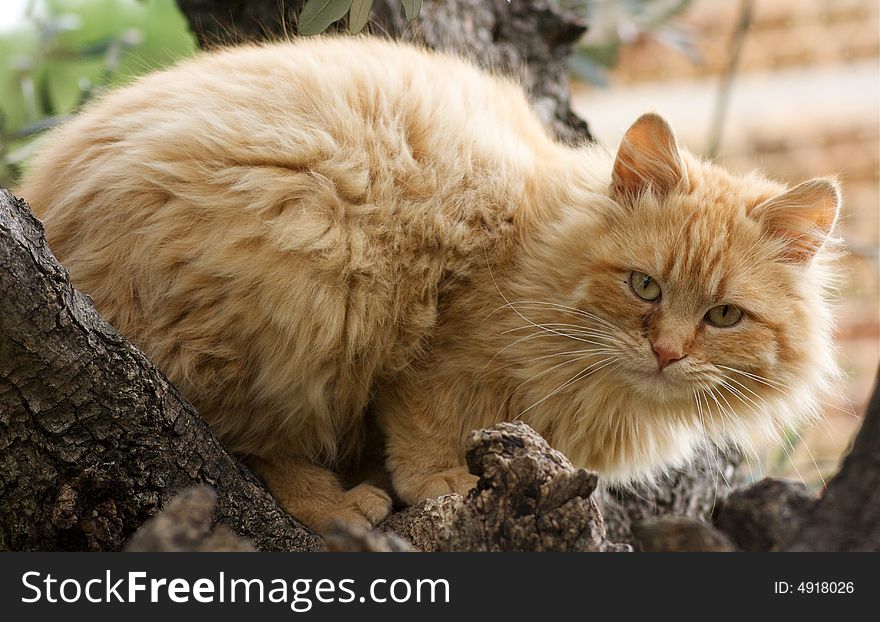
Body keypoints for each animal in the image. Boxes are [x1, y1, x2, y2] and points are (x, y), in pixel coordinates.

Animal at [17, 35, 844, 532]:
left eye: (725, 316)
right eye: (644, 287)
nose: (668, 353)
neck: (538, 242)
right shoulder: (441, 340)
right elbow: (426, 415)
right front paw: (439, 480)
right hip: (300, 291)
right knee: (243, 441)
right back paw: (340, 505)